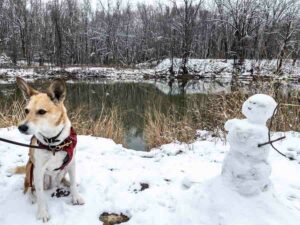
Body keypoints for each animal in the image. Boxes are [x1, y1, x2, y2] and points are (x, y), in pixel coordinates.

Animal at [16, 77, 84, 221]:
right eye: (26, 110)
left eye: (41, 111)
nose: (21, 127)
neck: (53, 142)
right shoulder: (38, 169)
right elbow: (40, 195)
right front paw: (42, 212)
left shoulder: (72, 162)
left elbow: (73, 183)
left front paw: (76, 197)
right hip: (30, 167)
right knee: (28, 187)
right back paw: (31, 197)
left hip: (63, 169)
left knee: (64, 181)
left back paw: (66, 183)